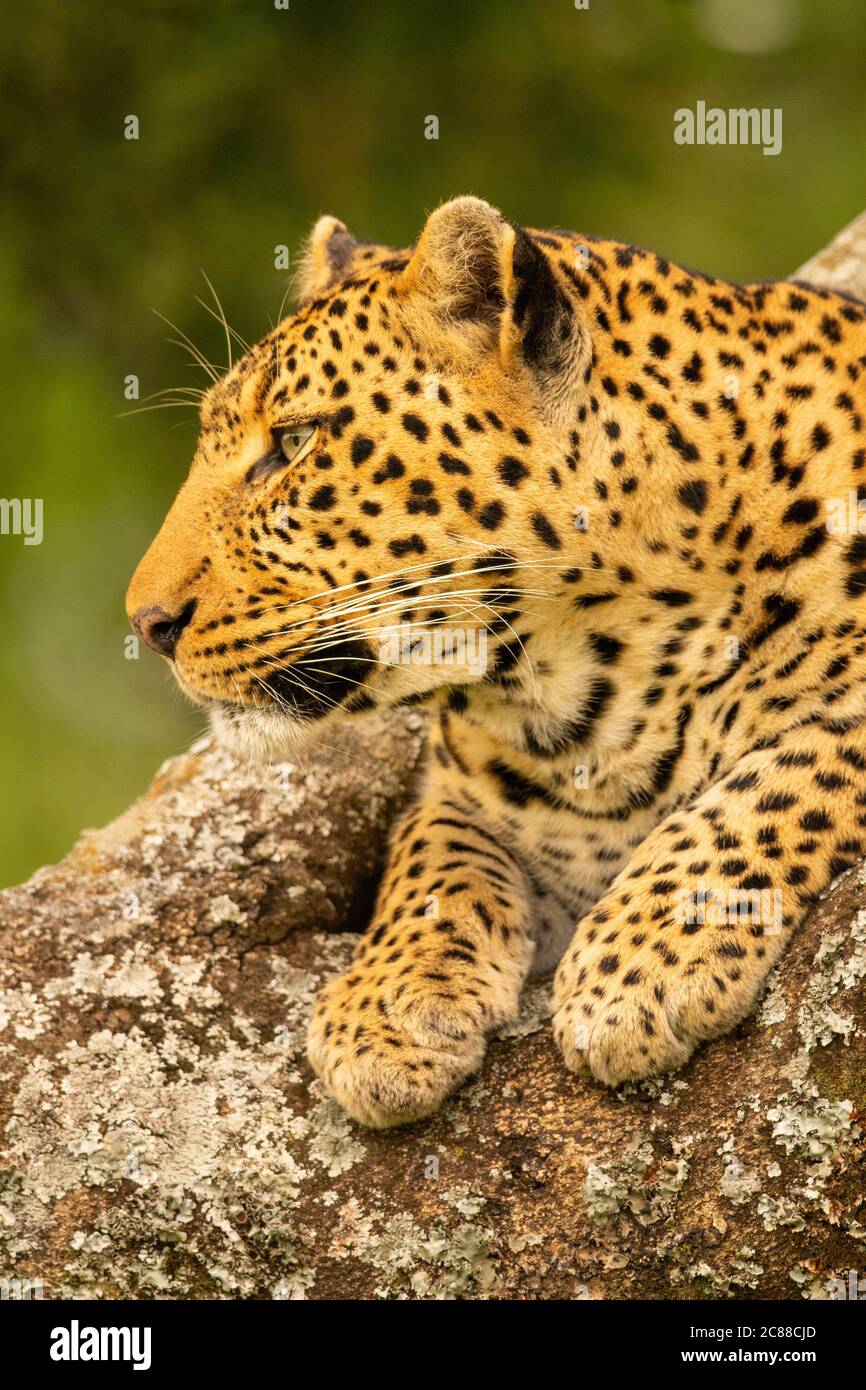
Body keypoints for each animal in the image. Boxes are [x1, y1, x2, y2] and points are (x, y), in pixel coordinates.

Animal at [126, 196, 866, 1128]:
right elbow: (435, 843)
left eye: (292, 444)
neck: (584, 693)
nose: (146, 622)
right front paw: (385, 1007)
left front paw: (638, 964)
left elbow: (785, 772)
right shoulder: (472, 780)